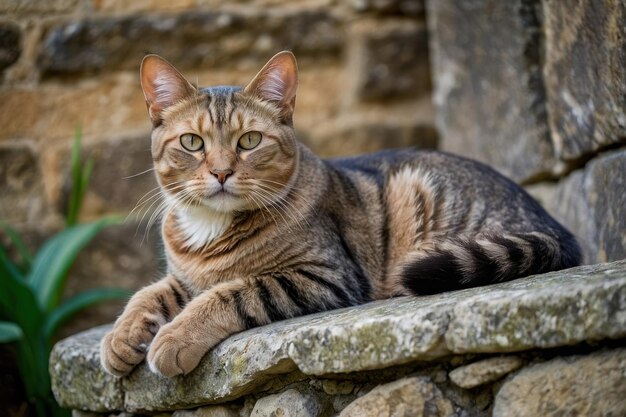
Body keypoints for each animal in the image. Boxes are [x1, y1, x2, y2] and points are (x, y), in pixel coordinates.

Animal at [98, 50, 580, 376]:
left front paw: (173, 338)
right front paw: (120, 339)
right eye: (192, 143)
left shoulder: (321, 276)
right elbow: (149, 293)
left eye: (249, 140)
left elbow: (231, 293)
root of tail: (555, 227)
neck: (210, 230)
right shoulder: (184, 277)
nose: (220, 171)